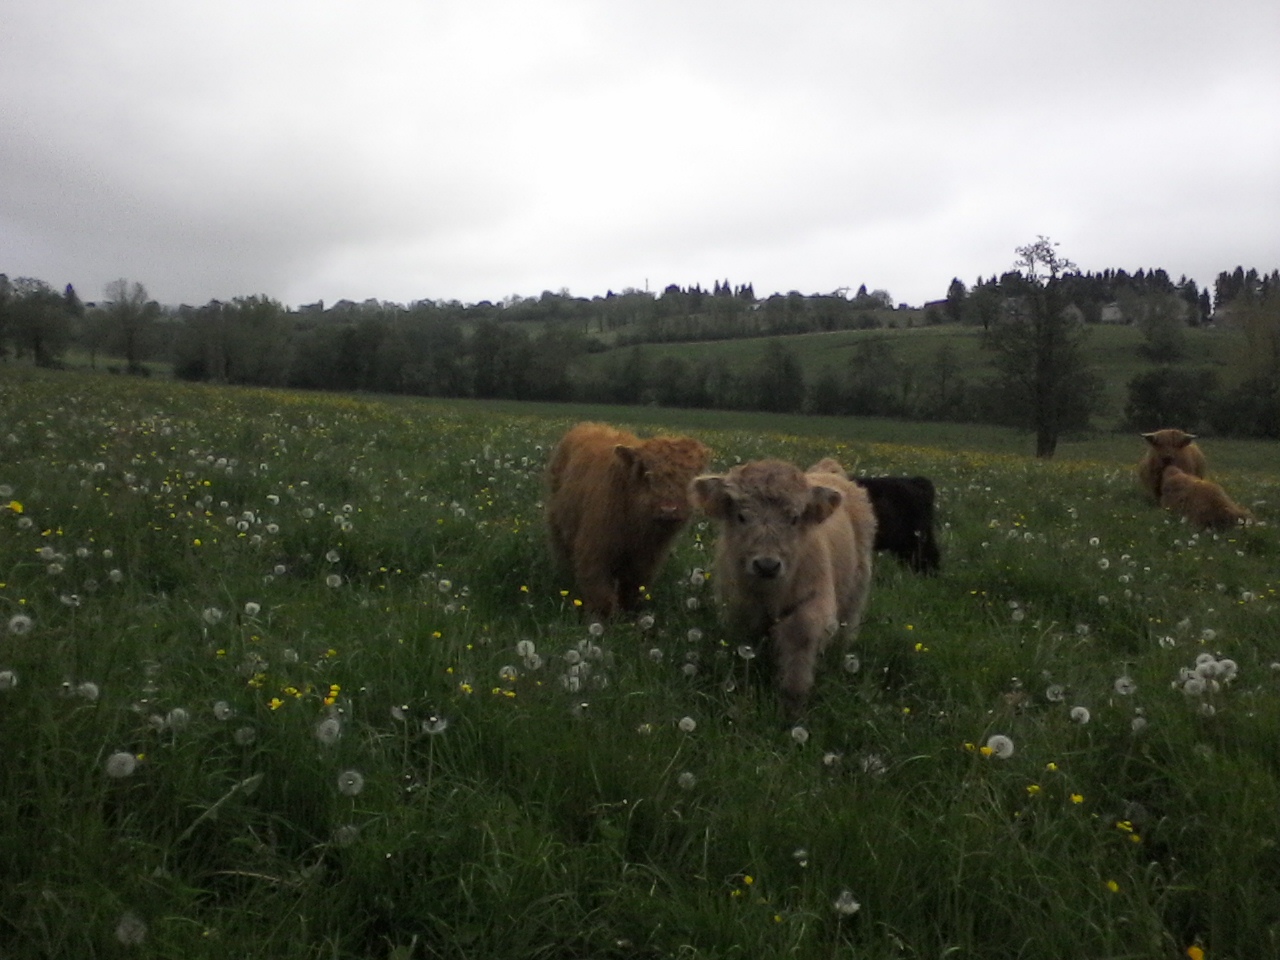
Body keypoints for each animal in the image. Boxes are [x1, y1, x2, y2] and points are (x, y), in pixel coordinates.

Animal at [547, 422, 716, 619]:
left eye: (688, 480)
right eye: (648, 475)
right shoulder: (594, 550)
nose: (668, 510)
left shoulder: (647, 561)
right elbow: (600, 593)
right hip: (558, 528)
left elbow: (634, 589)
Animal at [691, 460, 880, 721]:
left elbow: (800, 636)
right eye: (741, 516)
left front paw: (793, 703)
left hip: (856, 592)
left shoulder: (814, 604)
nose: (767, 565)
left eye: (794, 518)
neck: (769, 595)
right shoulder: (736, 610)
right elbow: (744, 646)